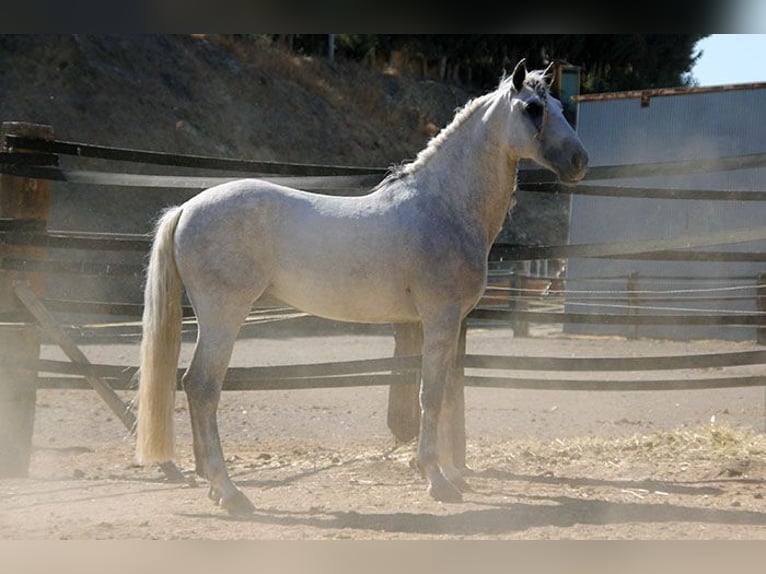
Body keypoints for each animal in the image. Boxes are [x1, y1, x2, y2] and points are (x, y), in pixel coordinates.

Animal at [135, 59, 588, 516]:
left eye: (559, 106)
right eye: (533, 108)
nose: (579, 161)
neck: (443, 205)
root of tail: (186, 208)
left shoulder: (447, 323)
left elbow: (445, 396)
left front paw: (447, 473)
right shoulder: (439, 319)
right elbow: (431, 395)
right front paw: (436, 479)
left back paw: (214, 487)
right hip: (223, 316)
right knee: (201, 387)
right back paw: (230, 492)